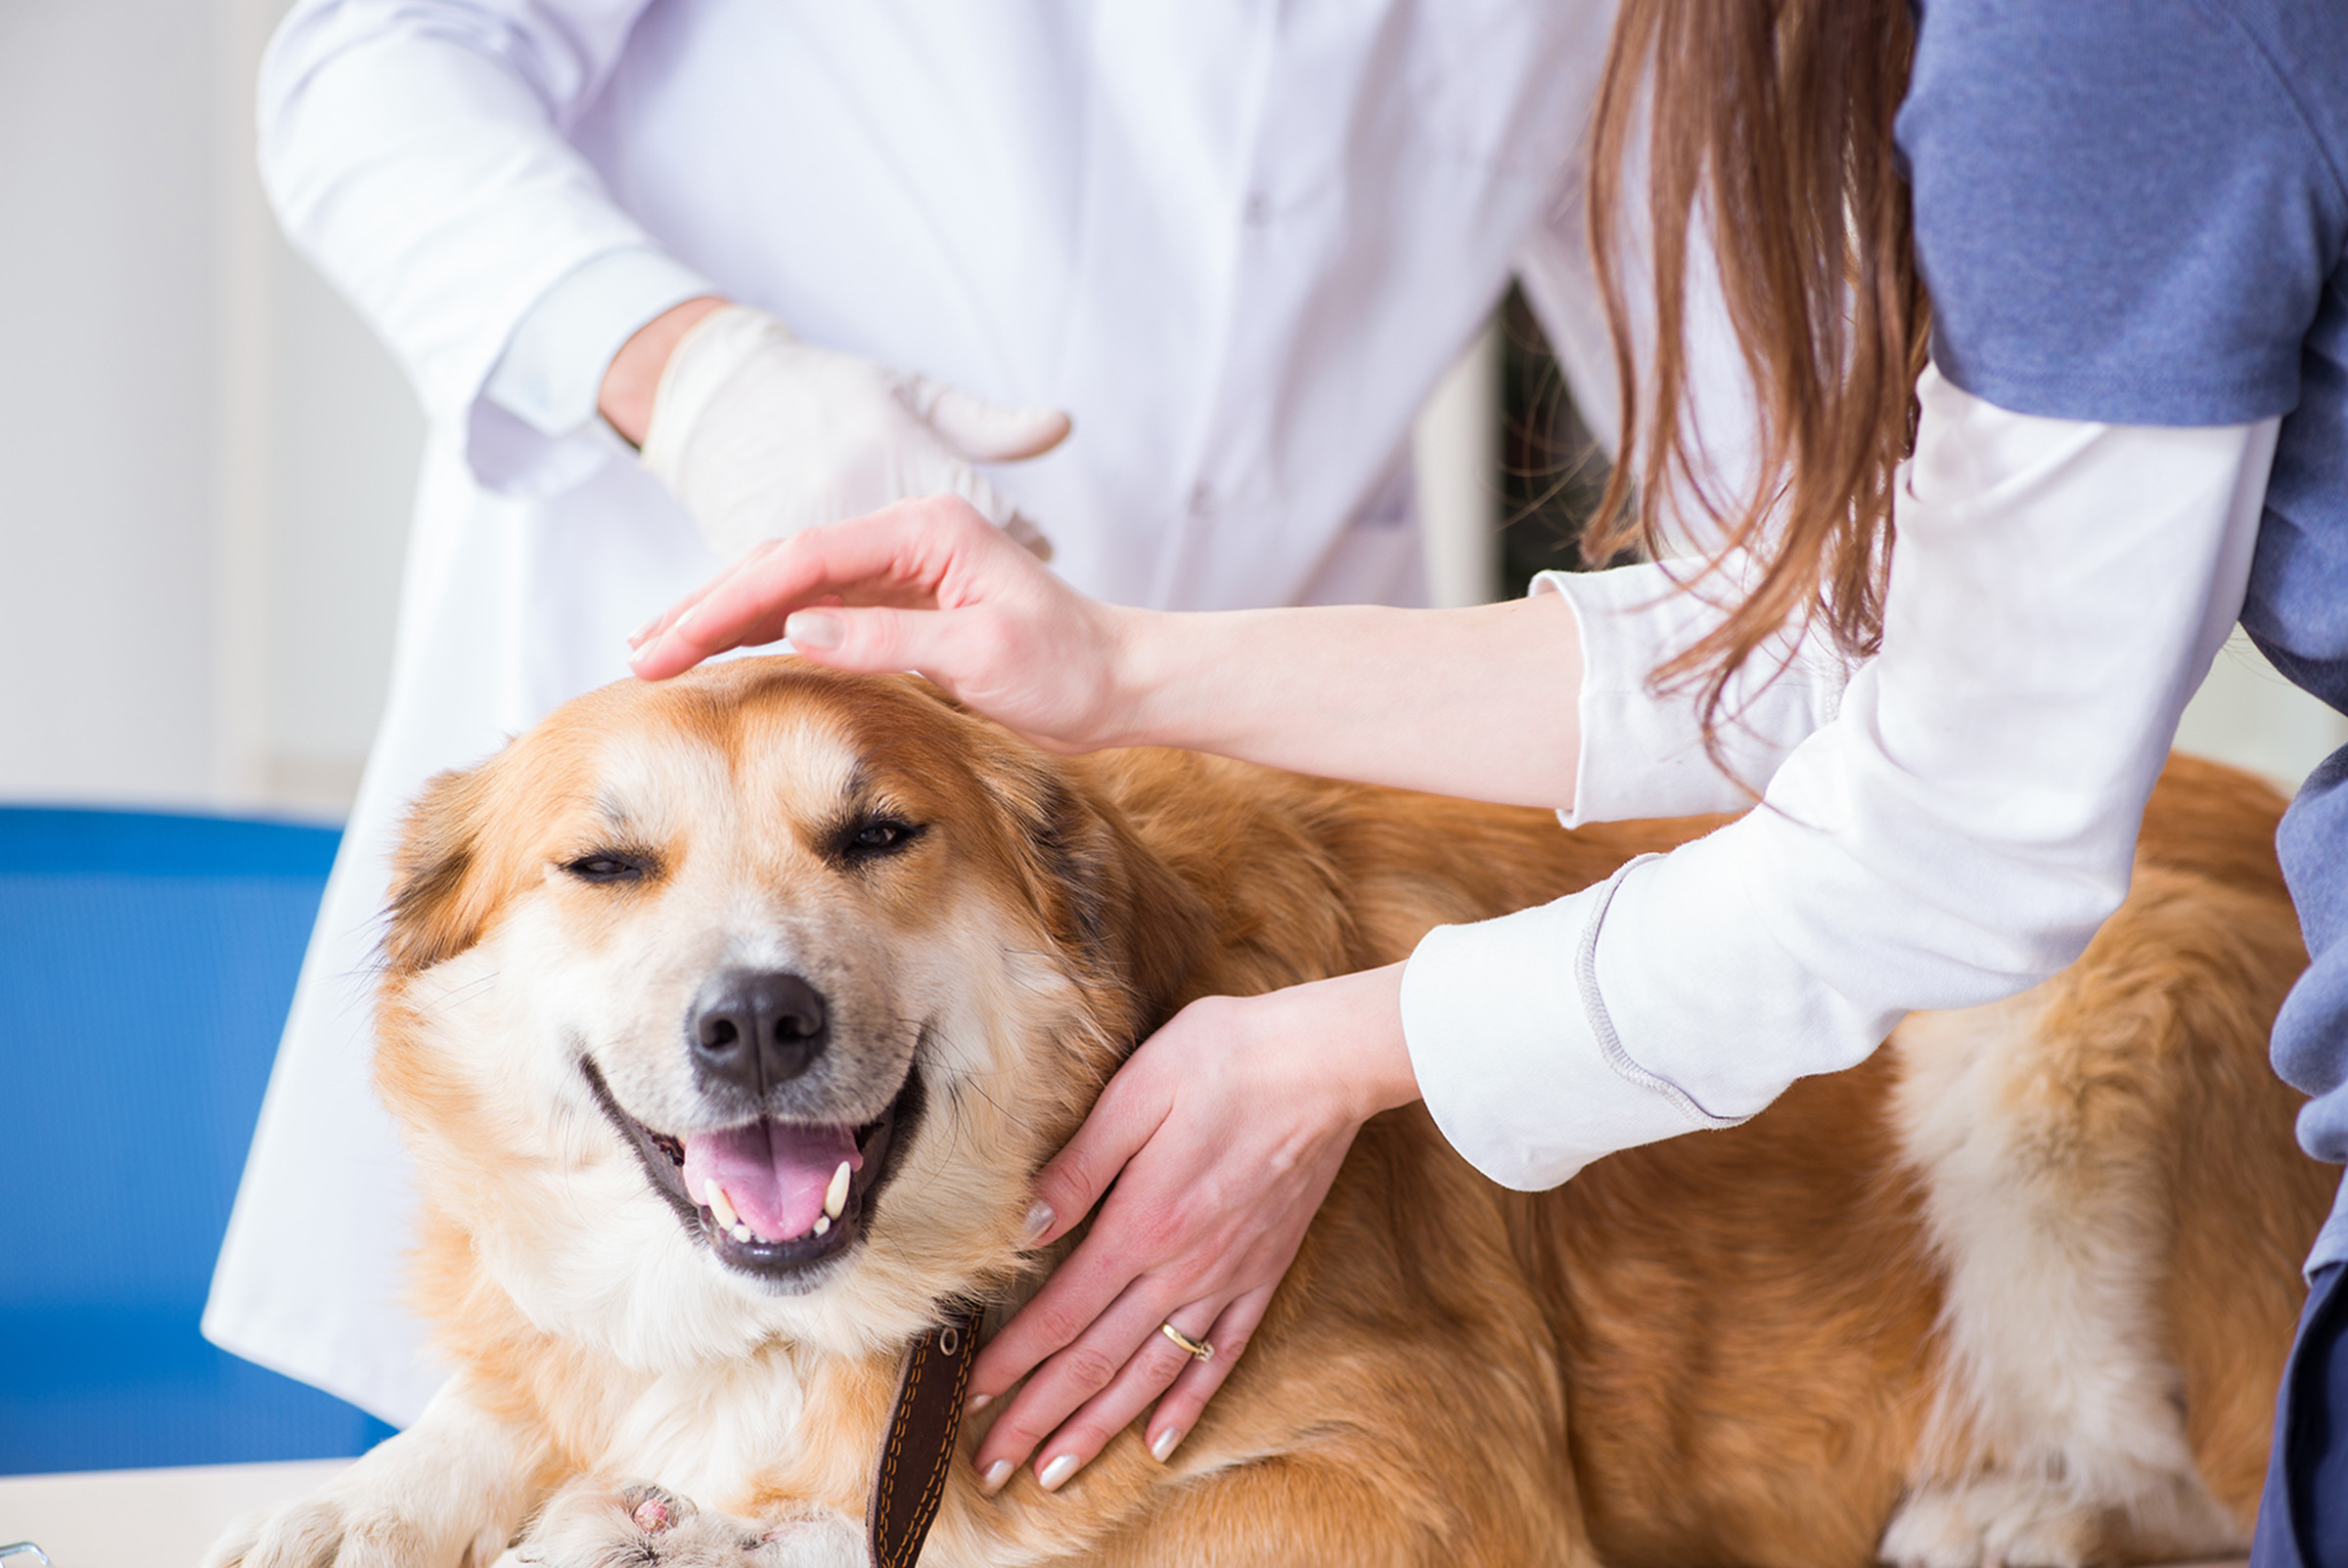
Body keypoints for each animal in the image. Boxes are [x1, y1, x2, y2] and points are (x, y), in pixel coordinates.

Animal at [202, 656, 2328, 1558]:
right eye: (606, 865)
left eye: (878, 833)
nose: (755, 1023)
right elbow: (500, 1398)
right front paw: (366, 1502)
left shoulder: (1421, 1487)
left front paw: (719, 1539)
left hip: (2053, 1042)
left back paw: (2012, 1517)